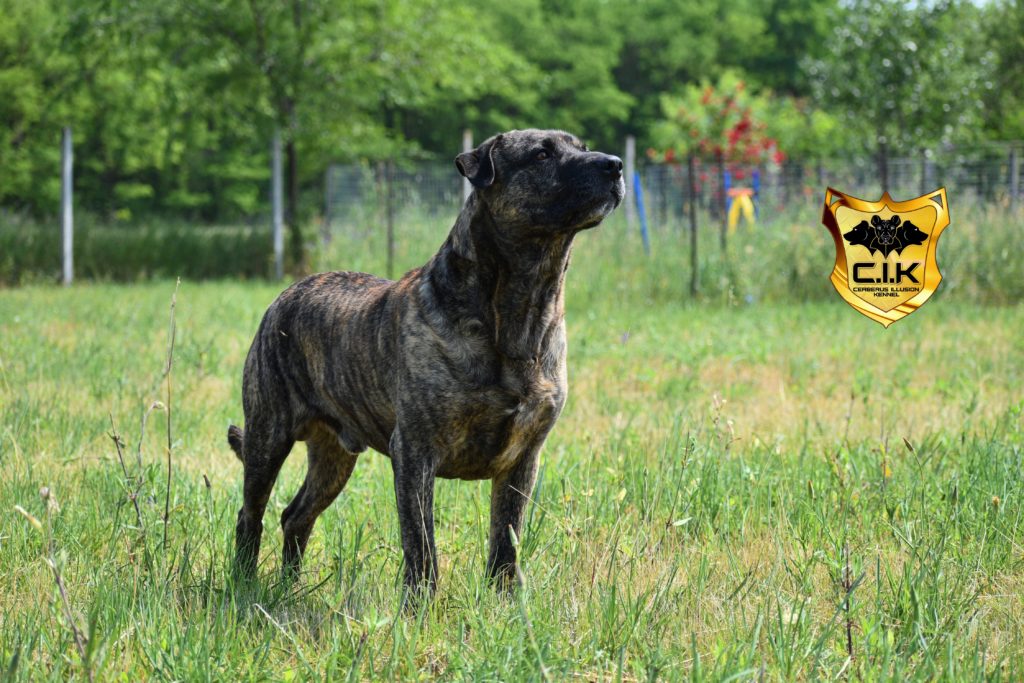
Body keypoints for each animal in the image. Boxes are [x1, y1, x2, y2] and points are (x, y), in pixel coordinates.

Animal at [227, 129, 618, 593]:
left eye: (582, 146)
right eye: (542, 154)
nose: (614, 164)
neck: (518, 309)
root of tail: (286, 294)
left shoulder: (524, 458)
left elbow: (506, 540)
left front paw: (504, 600)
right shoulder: (415, 452)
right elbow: (422, 545)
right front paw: (420, 605)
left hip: (333, 457)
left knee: (295, 515)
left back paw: (291, 586)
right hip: (267, 435)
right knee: (251, 514)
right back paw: (243, 583)